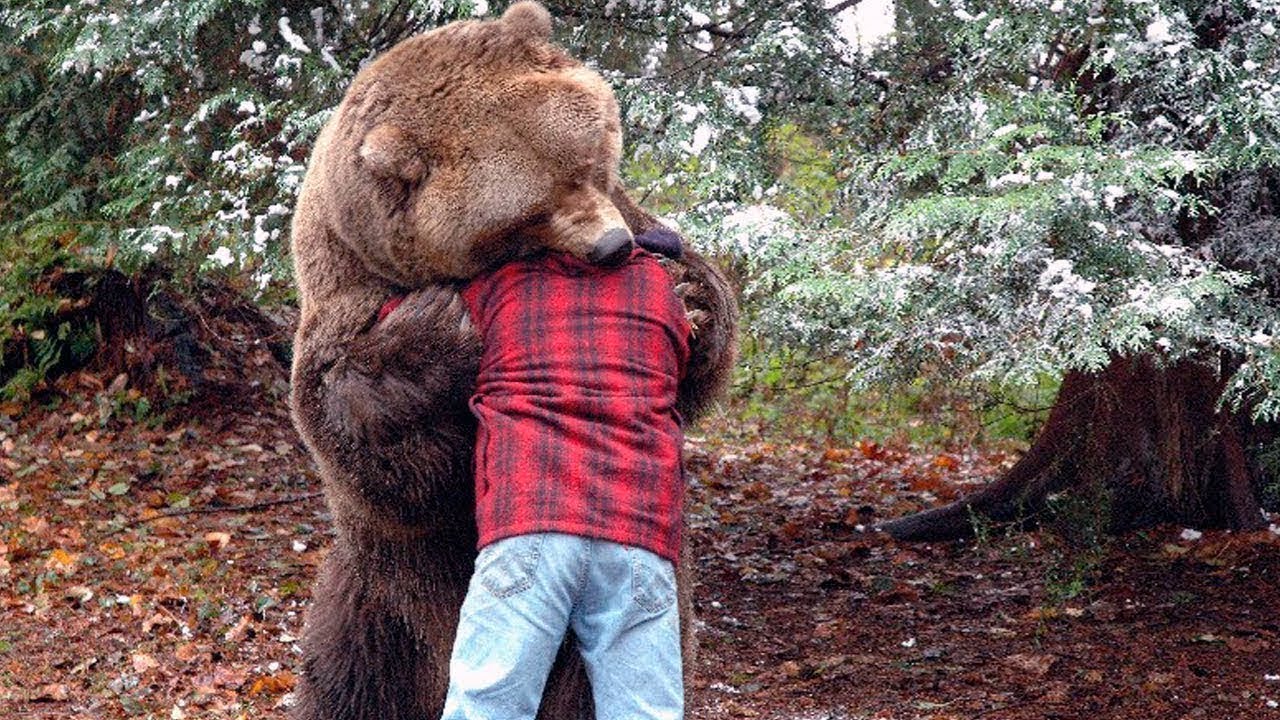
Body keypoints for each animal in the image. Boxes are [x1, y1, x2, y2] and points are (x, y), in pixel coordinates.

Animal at [286, 3, 738, 719]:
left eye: (588, 162)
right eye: (530, 212)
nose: (612, 247)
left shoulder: (637, 216)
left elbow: (697, 336)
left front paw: (692, 296)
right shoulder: (345, 295)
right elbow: (366, 439)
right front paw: (437, 329)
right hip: (375, 608)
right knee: (350, 683)